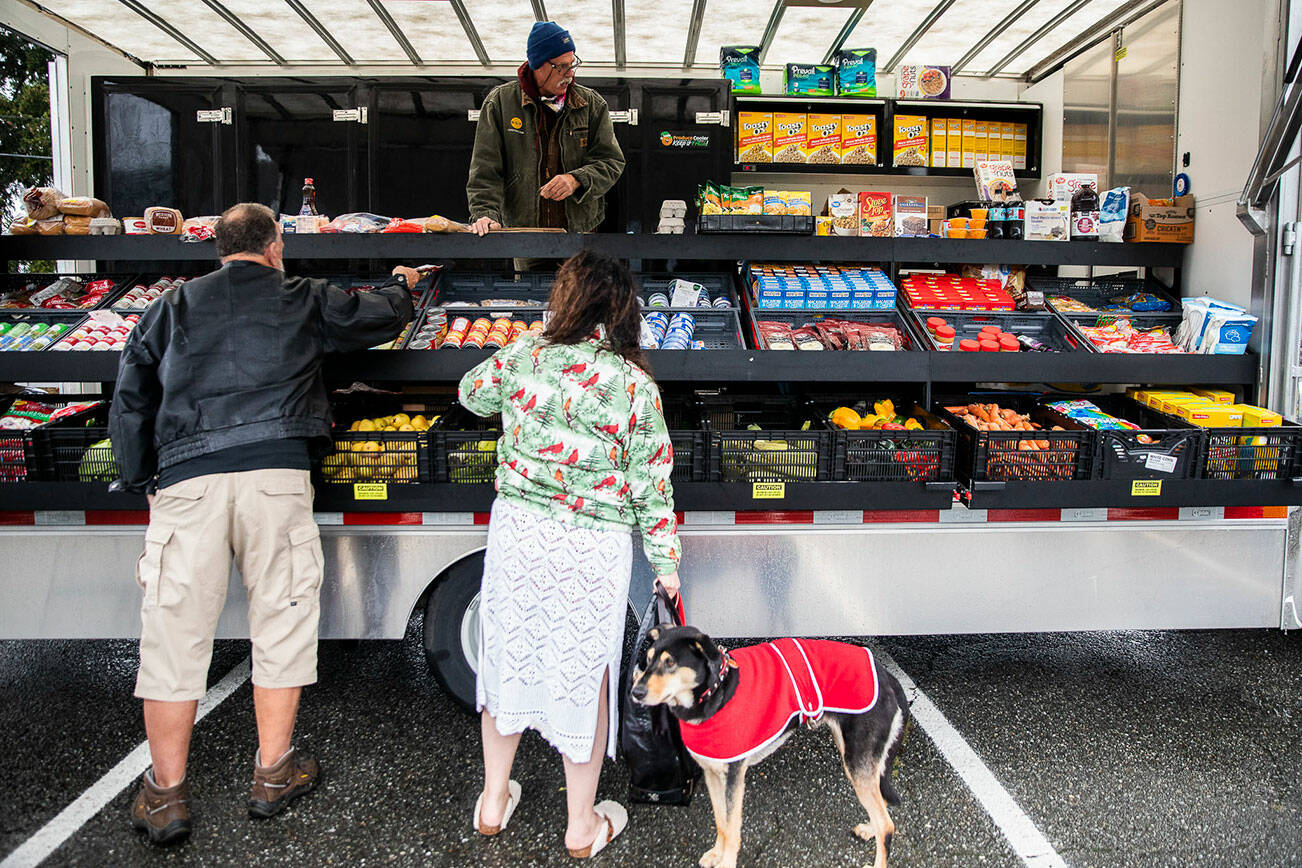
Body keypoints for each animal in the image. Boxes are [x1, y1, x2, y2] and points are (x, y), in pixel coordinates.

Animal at [630, 627, 906, 864]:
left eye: (670, 663)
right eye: (648, 659)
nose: (636, 692)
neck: (716, 692)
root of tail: (888, 676)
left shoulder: (734, 778)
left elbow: (732, 828)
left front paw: (726, 862)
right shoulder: (712, 773)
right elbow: (721, 822)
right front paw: (717, 853)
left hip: (857, 762)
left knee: (887, 825)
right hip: (858, 758)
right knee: (881, 807)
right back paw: (869, 828)